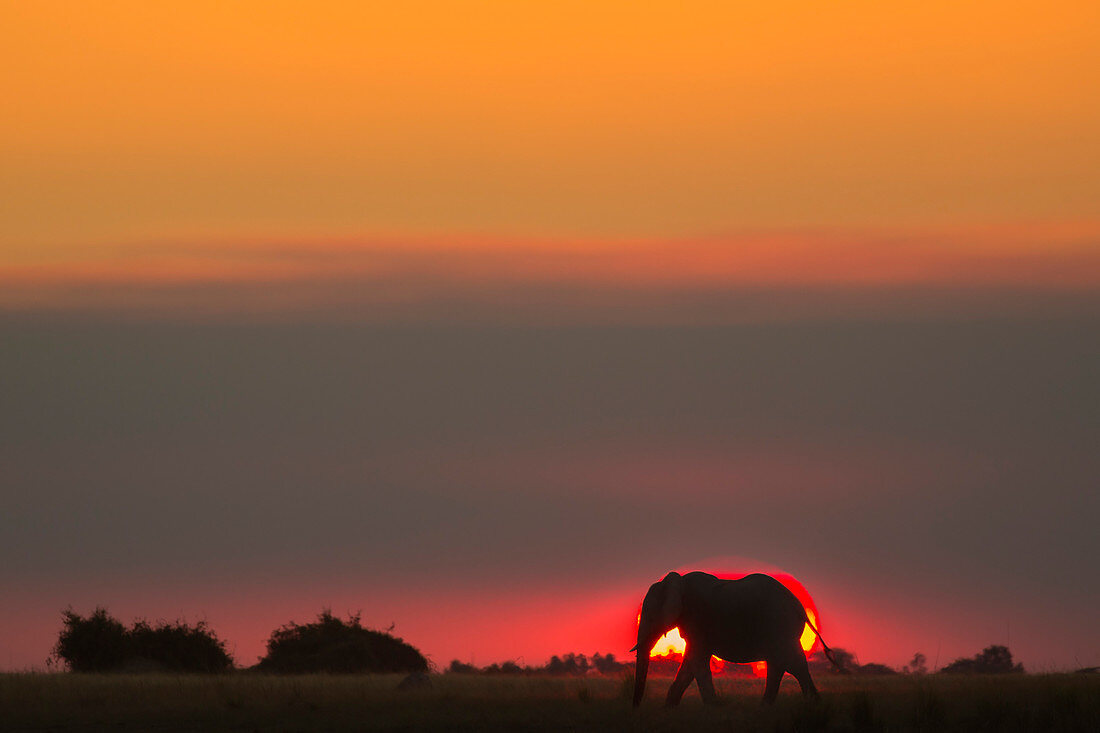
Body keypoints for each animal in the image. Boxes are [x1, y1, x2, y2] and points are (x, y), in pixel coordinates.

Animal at [633, 572, 836, 704]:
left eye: (650, 616)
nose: (636, 708)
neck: (677, 582)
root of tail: (801, 610)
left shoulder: (697, 618)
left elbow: (697, 660)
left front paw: (713, 709)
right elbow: (691, 663)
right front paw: (669, 708)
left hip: (780, 626)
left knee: (793, 664)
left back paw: (812, 705)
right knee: (781, 665)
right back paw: (767, 708)